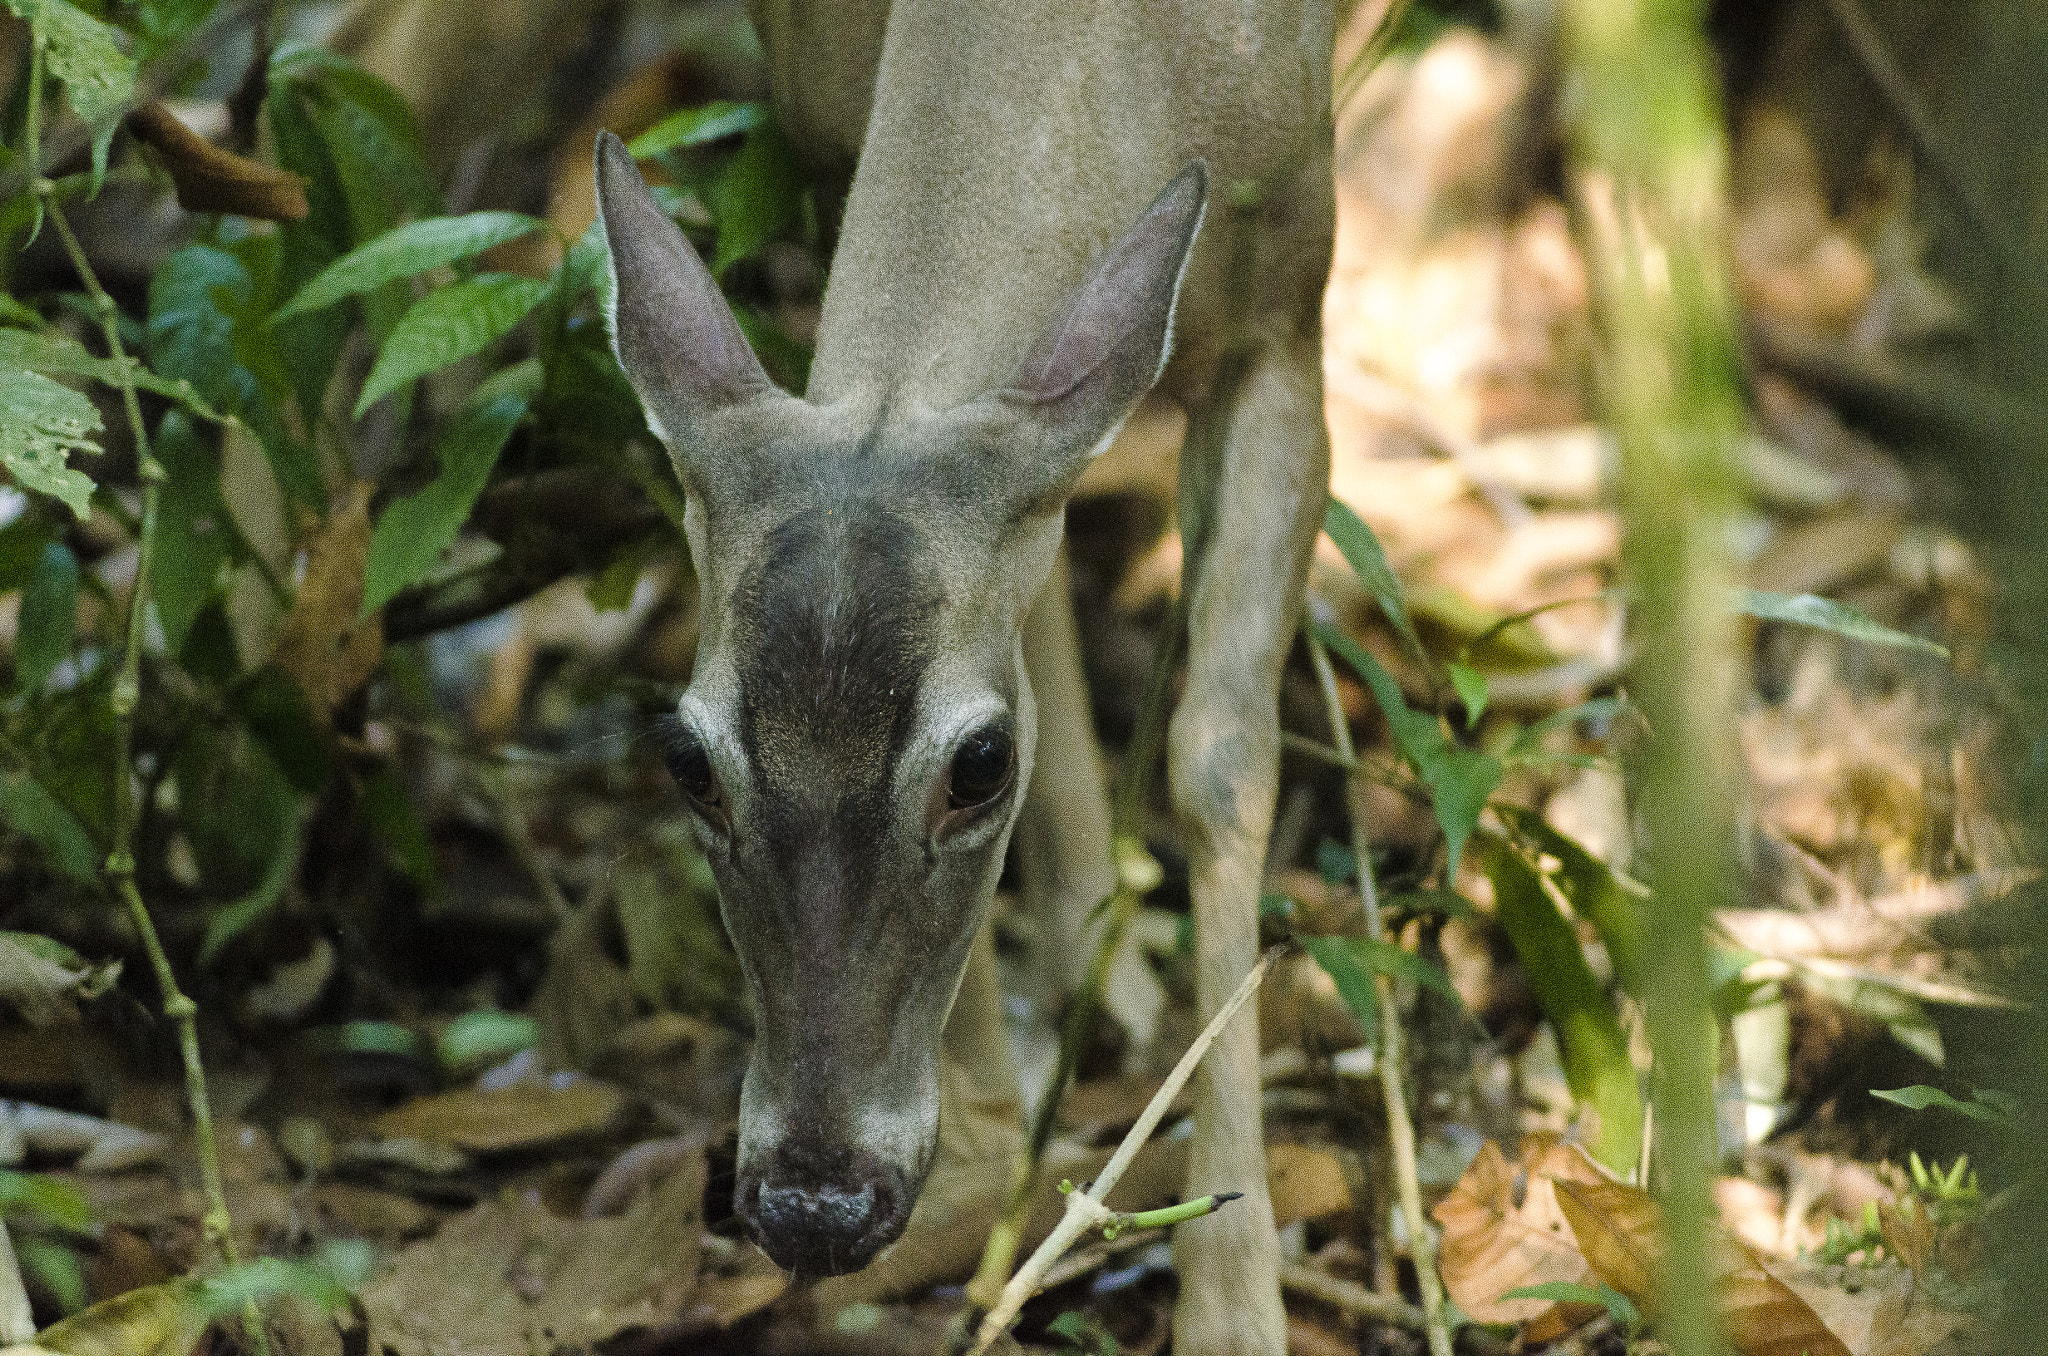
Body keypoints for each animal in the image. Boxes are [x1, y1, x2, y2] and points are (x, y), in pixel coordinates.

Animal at [593, 5, 1335, 1351]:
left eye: (976, 766)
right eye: (688, 762)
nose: (815, 1206)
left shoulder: (1294, 278)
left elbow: (1220, 759)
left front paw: (1232, 1303)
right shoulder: (821, 110)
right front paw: (986, 1129)